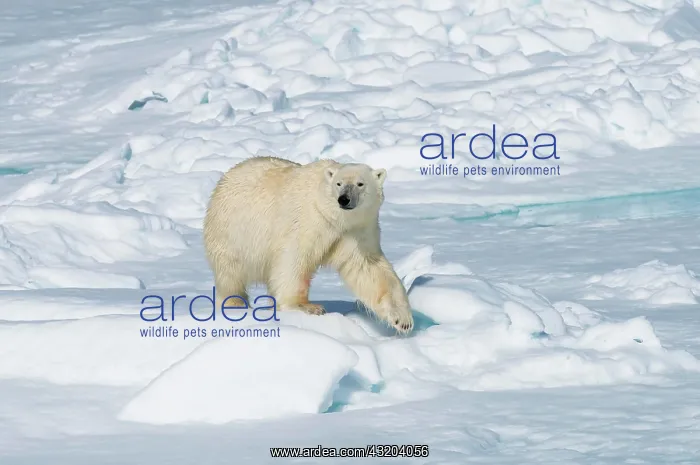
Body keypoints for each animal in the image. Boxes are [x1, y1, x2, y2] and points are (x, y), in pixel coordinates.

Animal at [202, 156, 414, 334]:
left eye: (360, 183)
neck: (336, 217)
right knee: (231, 274)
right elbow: (294, 259)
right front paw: (307, 307)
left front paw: (402, 318)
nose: (344, 199)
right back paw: (235, 304)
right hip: (232, 235)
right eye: (339, 183)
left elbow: (369, 268)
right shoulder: (310, 220)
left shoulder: (356, 231)